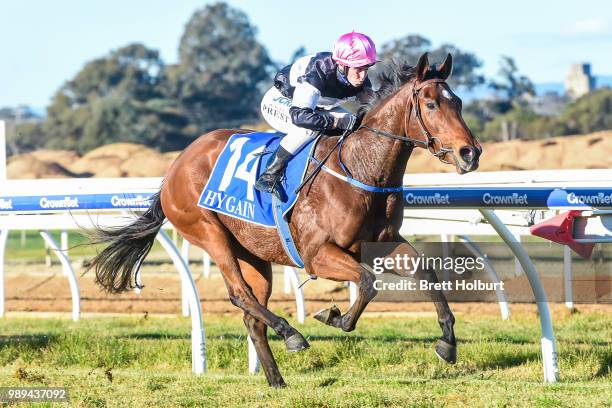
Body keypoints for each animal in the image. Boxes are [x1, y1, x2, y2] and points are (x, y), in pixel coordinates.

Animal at [86, 52, 482, 388]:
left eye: (458, 102)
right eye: (430, 104)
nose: (470, 153)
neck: (360, 167)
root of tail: (174, 167)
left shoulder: (384, 242)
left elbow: (426, 273)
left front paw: (447, 343)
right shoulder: (316, 254)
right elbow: (368, 283)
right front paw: (334, 317)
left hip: (253, 254)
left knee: (251, 313)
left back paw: (276, 379)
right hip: (208, 233)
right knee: (240, 295)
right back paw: (291, 333)